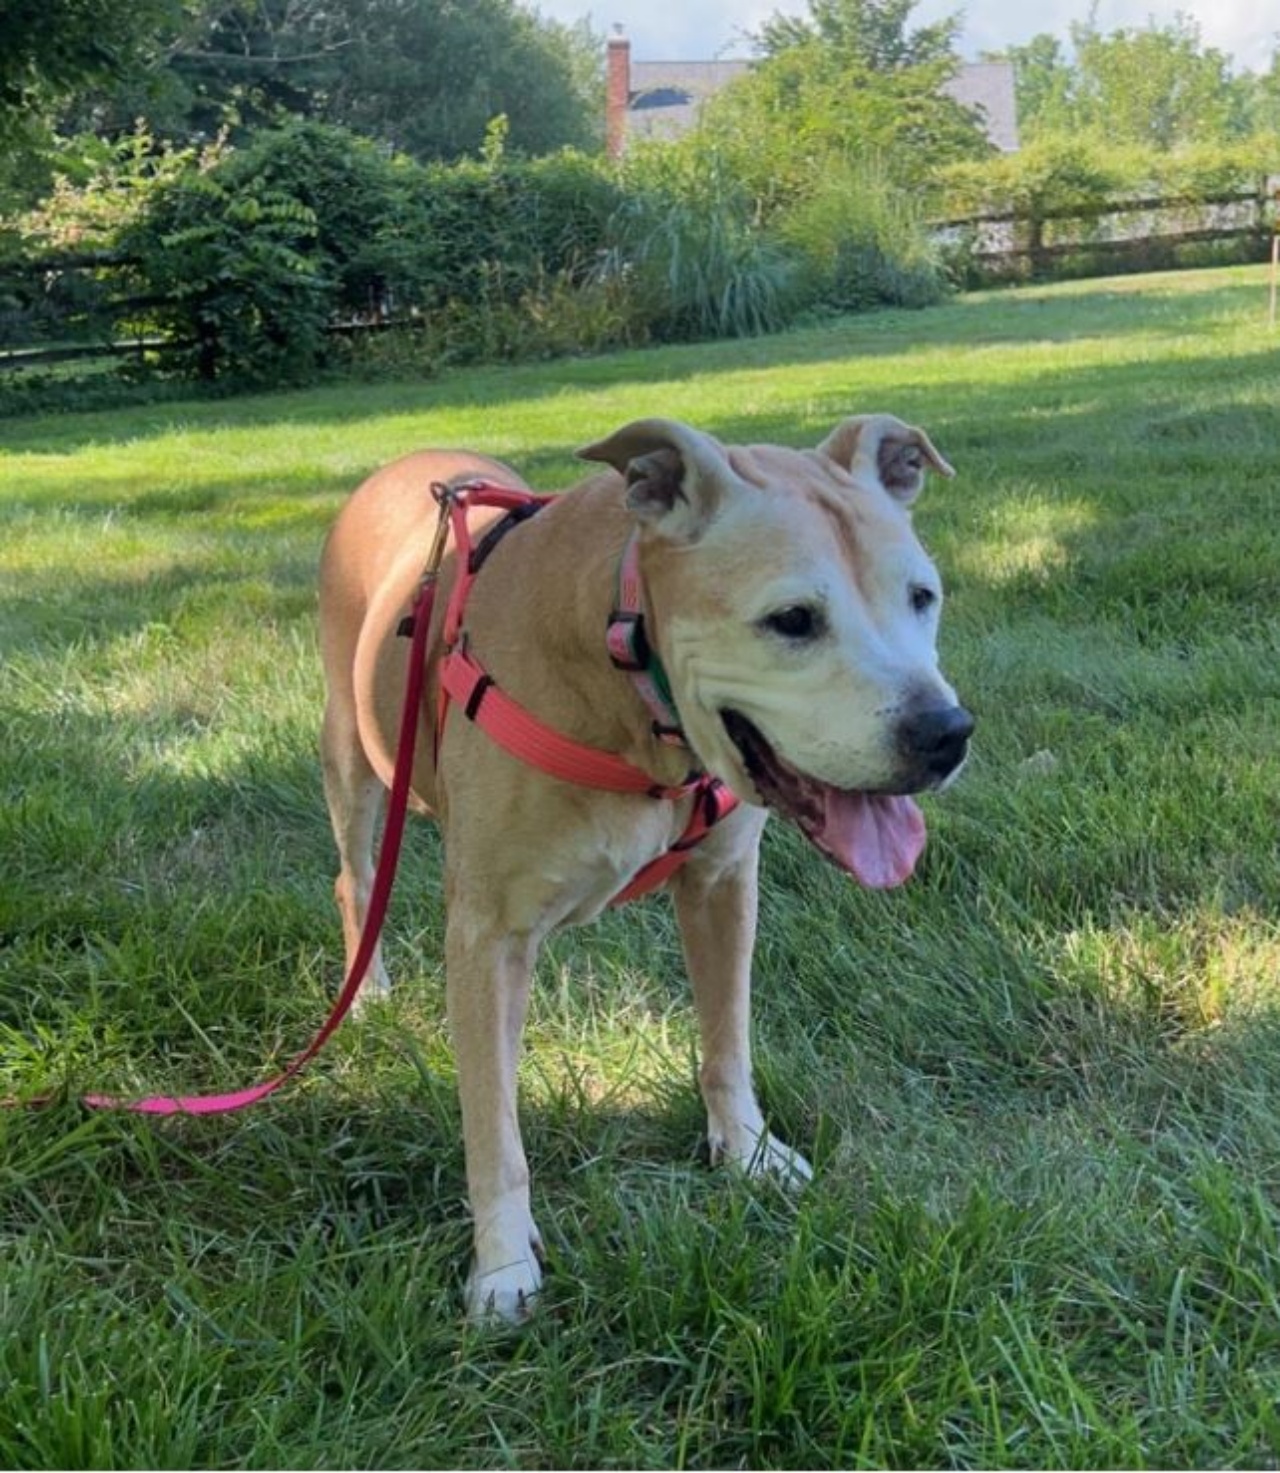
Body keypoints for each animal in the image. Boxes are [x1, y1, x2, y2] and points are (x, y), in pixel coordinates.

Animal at [319, 415, 966, 1325]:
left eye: (922, 596)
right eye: (792, 620)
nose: (945, 732)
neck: (625, 659)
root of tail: (409, 463)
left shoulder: (724, 886)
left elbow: (727, 1040)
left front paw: (748, 1152)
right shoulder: (487, 935)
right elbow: (493, 1126)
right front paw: (502, 1263)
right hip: (350, 752)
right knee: (355, 876)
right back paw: (368, 989)